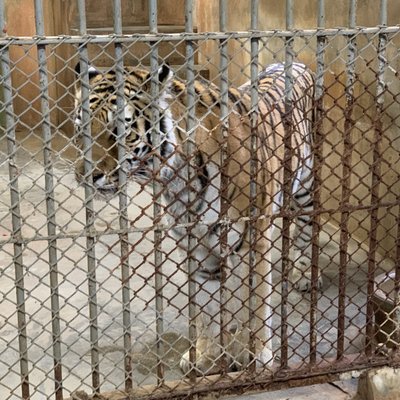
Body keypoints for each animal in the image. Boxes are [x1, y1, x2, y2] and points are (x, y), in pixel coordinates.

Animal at [73, 61, 320, 374]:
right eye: (80, 128)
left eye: (119, 130)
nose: (85, 176)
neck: (178, 180)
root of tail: (294, 63)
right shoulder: (197, 248)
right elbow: (206, 309)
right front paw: (205, 357)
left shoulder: (252, 241)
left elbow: (255, 303)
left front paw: (254, 356)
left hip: (307, 187)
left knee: (307, 229)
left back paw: (305, 275)